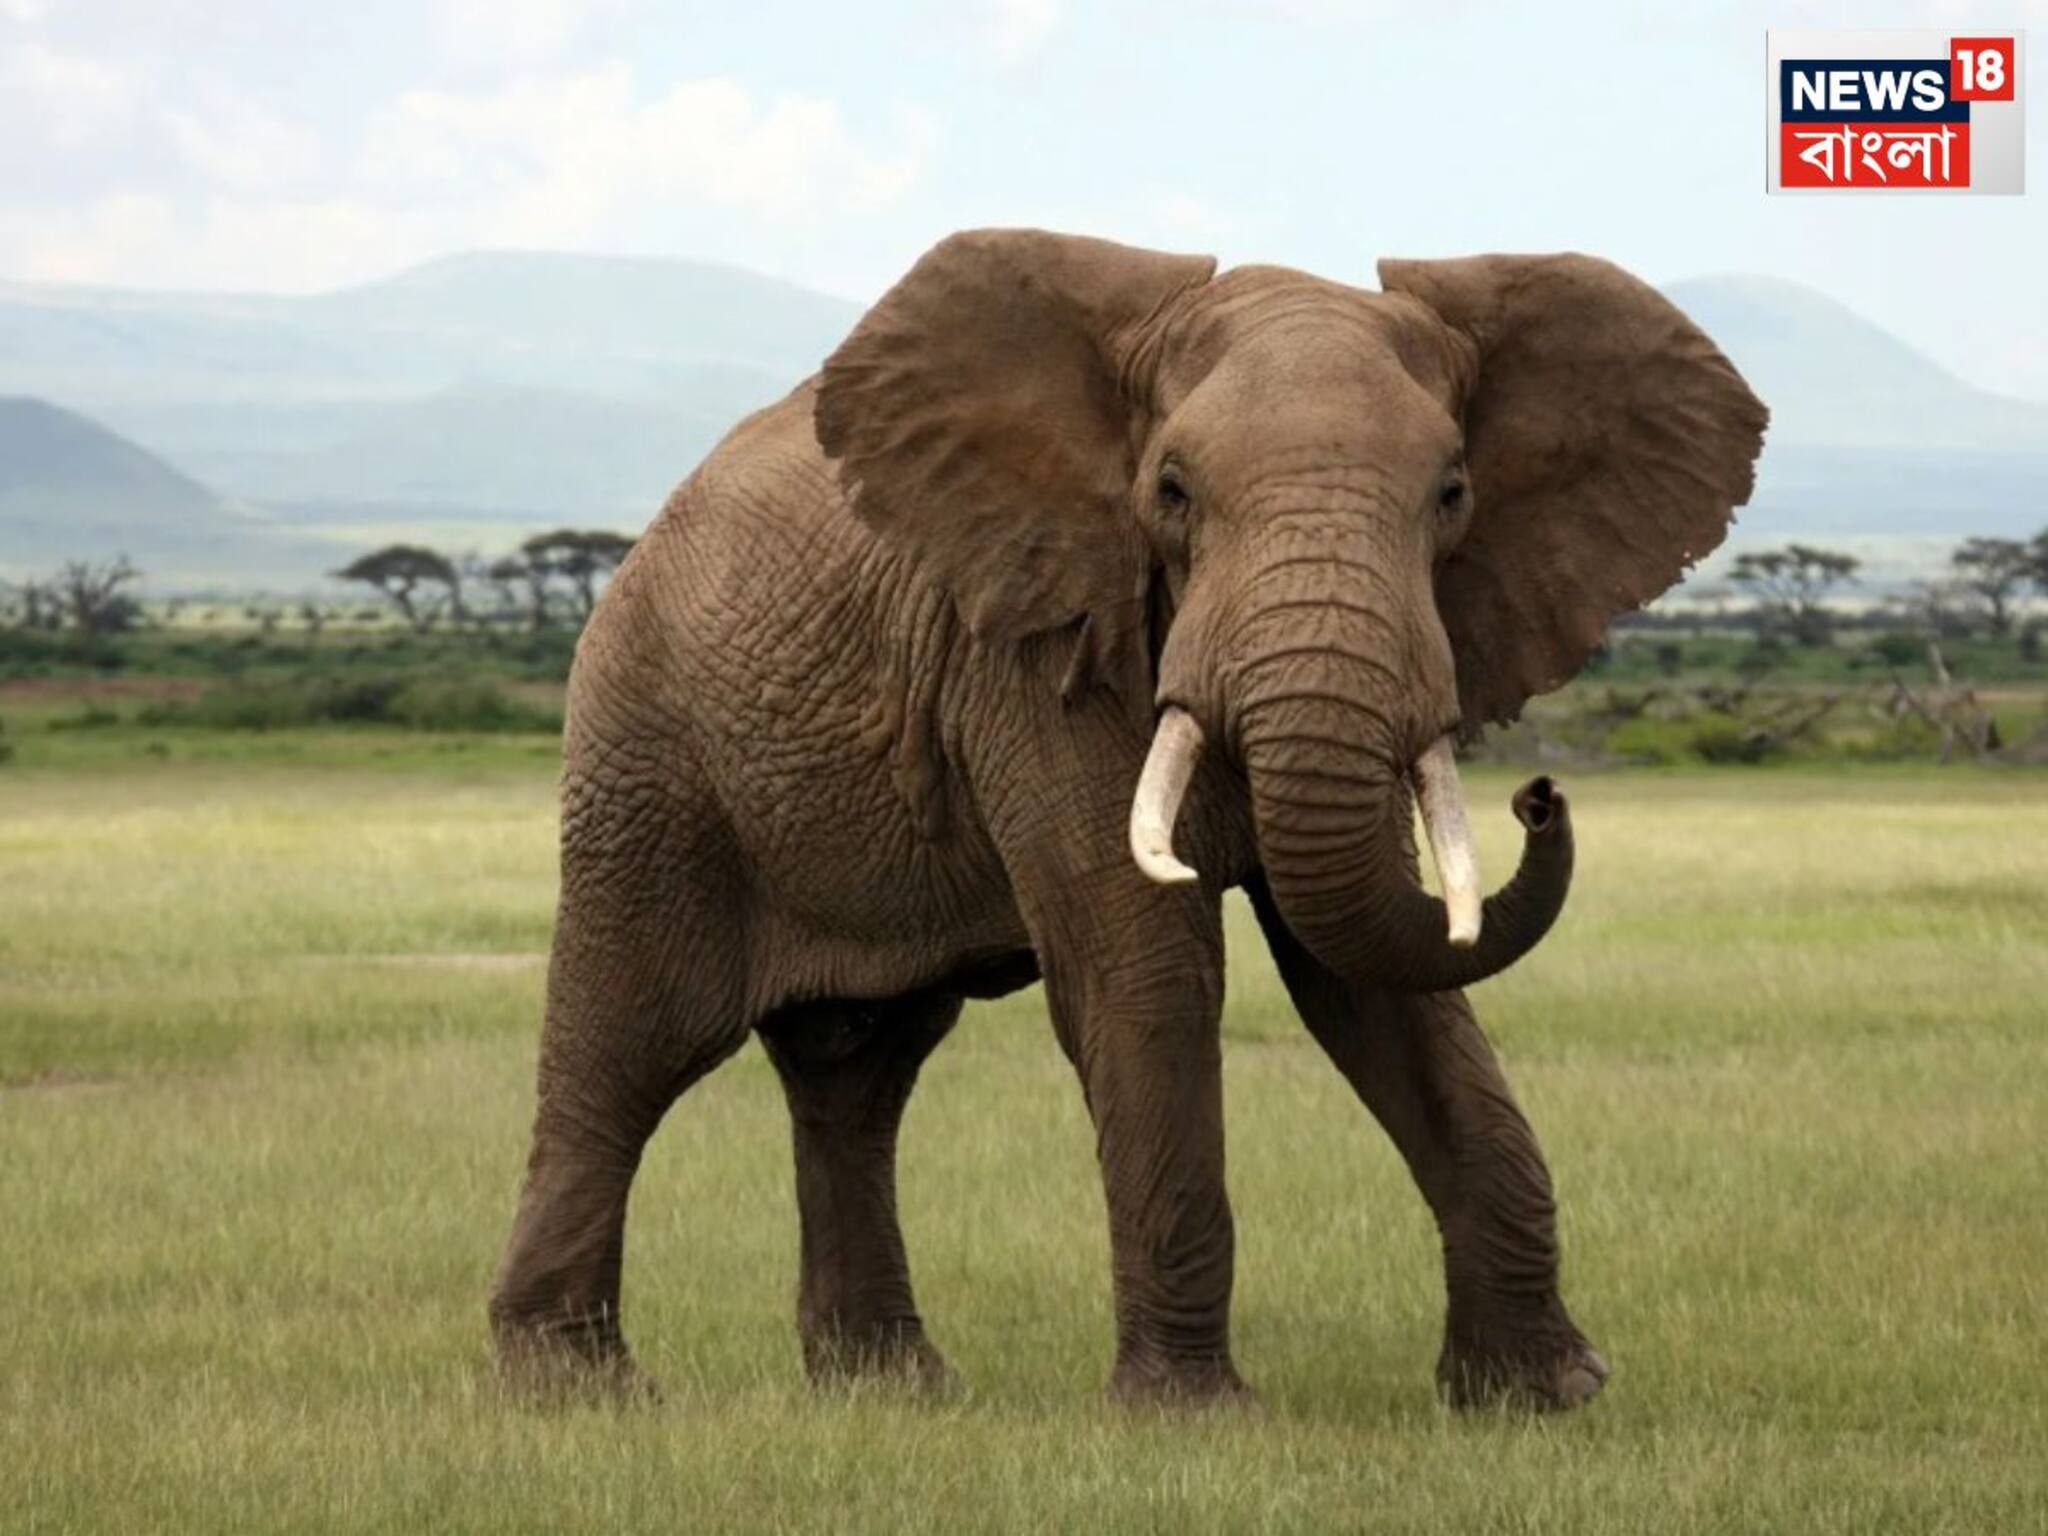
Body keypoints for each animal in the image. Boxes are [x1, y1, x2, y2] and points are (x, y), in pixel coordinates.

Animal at [487, 229, 1767, 1411]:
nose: (1538, 796)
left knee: (856, 1074)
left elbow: (1378, 978)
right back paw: (578, 1390)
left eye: (1451, 495)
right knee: (631, 1044)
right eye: (1171, 493)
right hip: (646, 758)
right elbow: (1146, 970)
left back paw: (895, 1393)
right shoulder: (1035, 646)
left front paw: (1542, 1398)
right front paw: (1193, 1417)